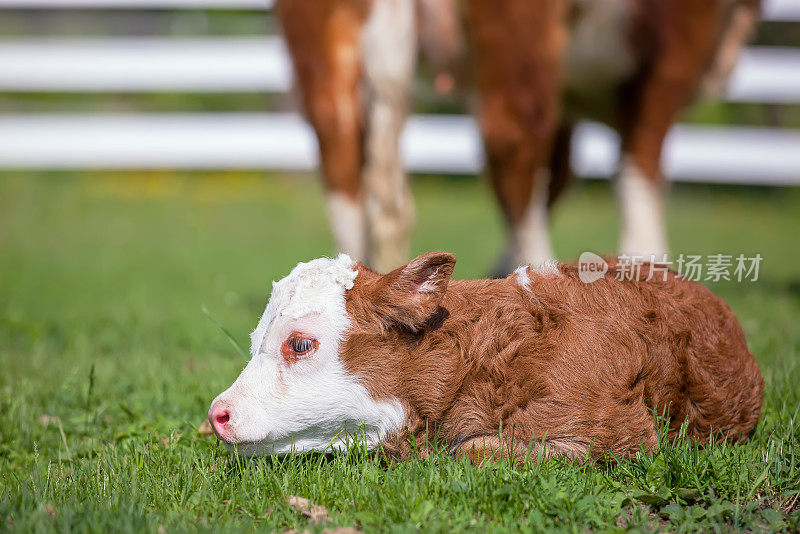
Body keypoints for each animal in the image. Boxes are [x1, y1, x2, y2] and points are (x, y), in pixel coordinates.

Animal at [276, 0, 764, 274]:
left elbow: (559, 173)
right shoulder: (675, 46)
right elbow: (641, 159)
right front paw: (647, 261)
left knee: (337, 143)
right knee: (513, 134)